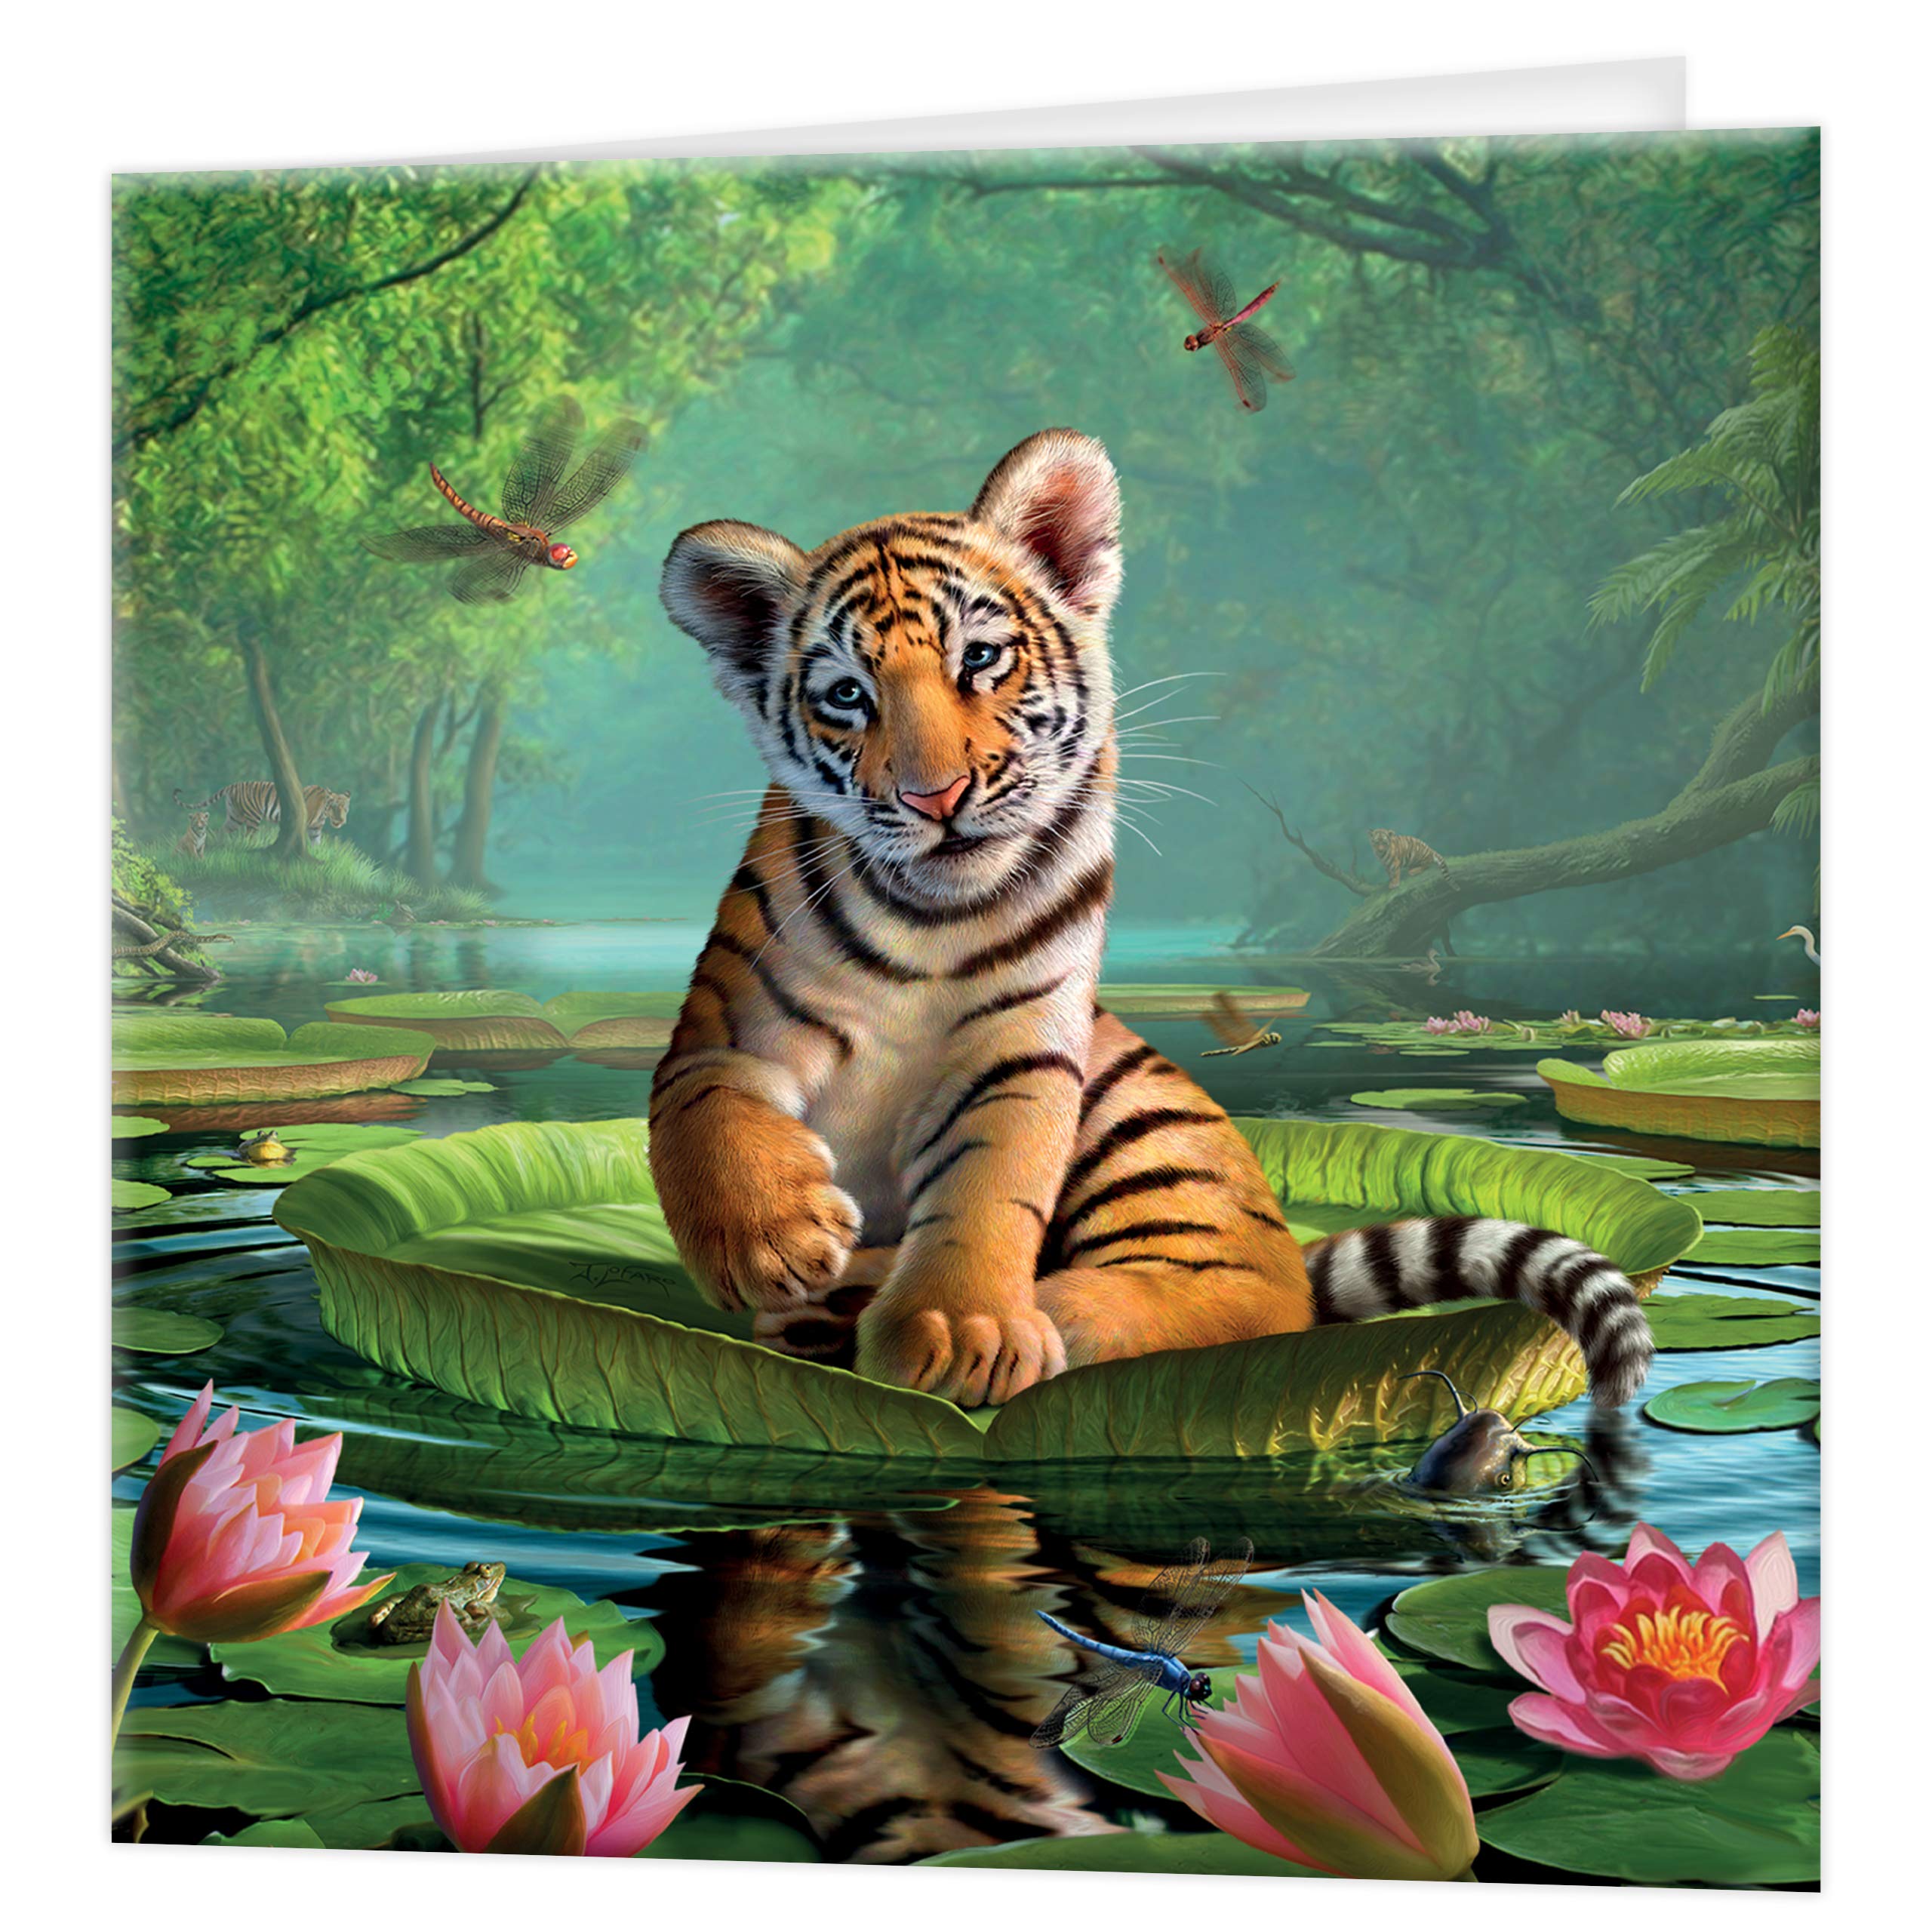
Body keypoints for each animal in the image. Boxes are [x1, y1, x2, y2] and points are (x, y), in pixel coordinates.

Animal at [176, 782, 350, 847]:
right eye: (334, 807)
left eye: (345, 808)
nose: (342, 821)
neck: (323, 813)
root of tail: (234, 785)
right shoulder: (304, 825)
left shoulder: (315, 829)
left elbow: (316, 844)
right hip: (253, 818)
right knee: (248, 837)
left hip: (234, 818)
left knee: (221, 831)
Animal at [652, 429, 1653, 1410]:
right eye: (848, 694)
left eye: (980, 658)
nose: (935, 797)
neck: (930, 919)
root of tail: (1293, 1246)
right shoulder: (720, 1031)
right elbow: (705, 1114)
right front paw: (772, 1243)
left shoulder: (1022, 1052)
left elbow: (989, 1186)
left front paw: (959, 1332)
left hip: (1148, 1125)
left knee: (1244, 1298)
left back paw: (1011, 1308)